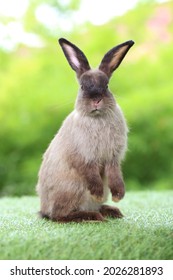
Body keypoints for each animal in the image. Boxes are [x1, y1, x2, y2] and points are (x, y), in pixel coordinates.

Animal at [36, 37, 134, 222]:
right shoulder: (83, 156)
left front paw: (118, 196)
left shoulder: (113, 158)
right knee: (60, 216)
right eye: (82, 87)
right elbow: (91, 174)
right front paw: (97, 193)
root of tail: (44, 209)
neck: (97, 118)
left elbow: (115, 175)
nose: (96, 100)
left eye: (107, 86)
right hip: (71, 189)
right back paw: (93, 216)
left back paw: (111, 211)